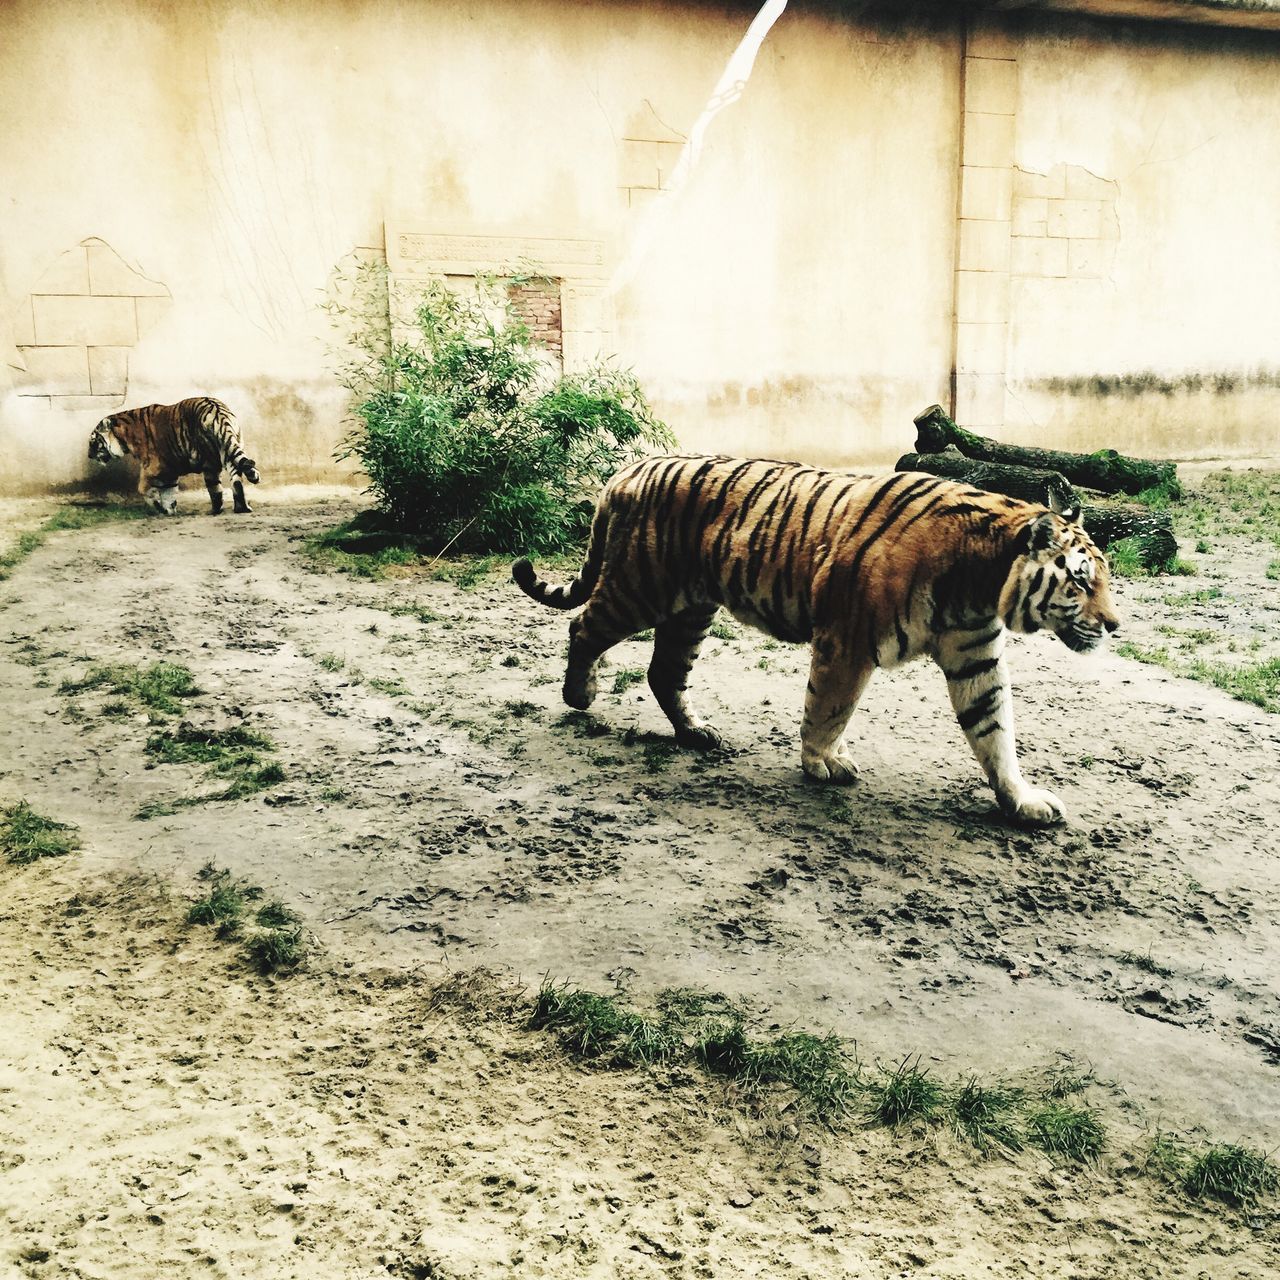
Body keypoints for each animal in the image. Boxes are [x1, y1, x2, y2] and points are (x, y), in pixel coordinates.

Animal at [88, 394, 261, 514]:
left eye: (93, 442)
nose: (89, 456)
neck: (123, 436)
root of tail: (217, 412)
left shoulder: (151, 467)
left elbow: (142, 488)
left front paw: (158, 507)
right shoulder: (168, 471)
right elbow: (169, 493)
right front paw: (169, 510)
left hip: (210, 463)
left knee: (215, 489)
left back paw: (215, 510)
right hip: (229, 450)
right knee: (236, 481)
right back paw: (241, 508)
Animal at [514, 455, 1126, 824]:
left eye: (1104, 576)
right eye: (1080, 579)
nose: (1115, 625)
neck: (981, 583)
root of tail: (628, 469)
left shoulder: (975, 658)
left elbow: (995, 733)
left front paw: (1021, 801)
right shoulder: (848, 642)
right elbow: (830, 708)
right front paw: (821, 763)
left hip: (691, 609)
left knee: (664, 672)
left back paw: (696, 733)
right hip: (640, 589)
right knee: (583, 627)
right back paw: (580, 695)